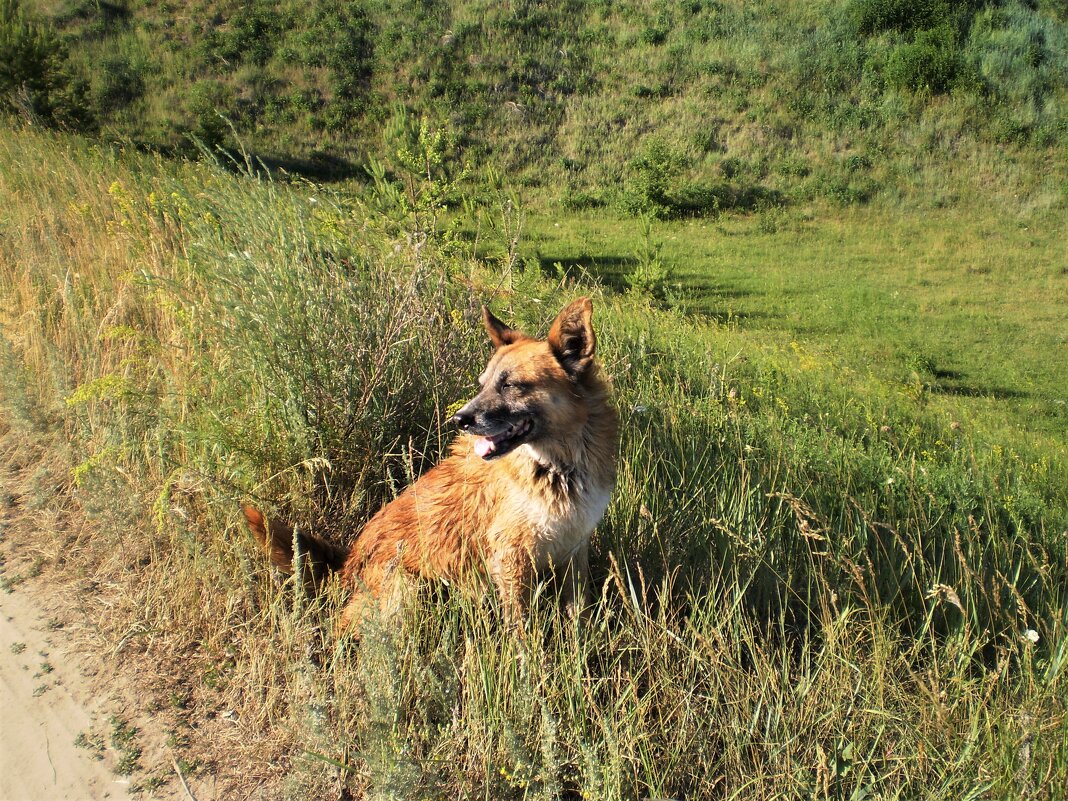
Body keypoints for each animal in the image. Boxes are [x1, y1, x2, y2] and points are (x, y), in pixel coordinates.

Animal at [244, 299, 619, 632]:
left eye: (511, 384)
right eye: (483, 384)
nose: (460, 419)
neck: (559, 465)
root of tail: (347, 565)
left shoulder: (574, 548)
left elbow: (579, 611)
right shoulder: (511, 559)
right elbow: (522, 629)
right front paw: (529, 664)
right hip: (407, 590)